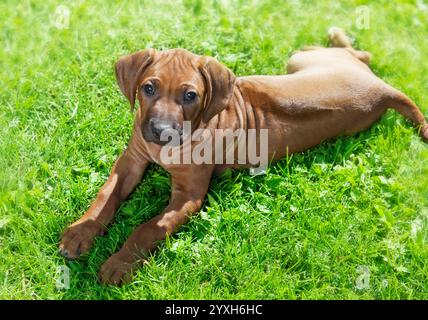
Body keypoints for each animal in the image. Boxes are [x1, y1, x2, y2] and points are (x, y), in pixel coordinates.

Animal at [57, 28, 428, 284]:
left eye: (190, 95)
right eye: (148, 88)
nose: (162, 131)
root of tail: (383, 90)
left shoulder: (189, 196)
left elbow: (147, 229)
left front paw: (120, 263)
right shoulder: (132, 159)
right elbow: (106, 196)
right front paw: (79, 234)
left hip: (302, 57)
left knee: (358, 51)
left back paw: (337, 34)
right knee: (363, 53)